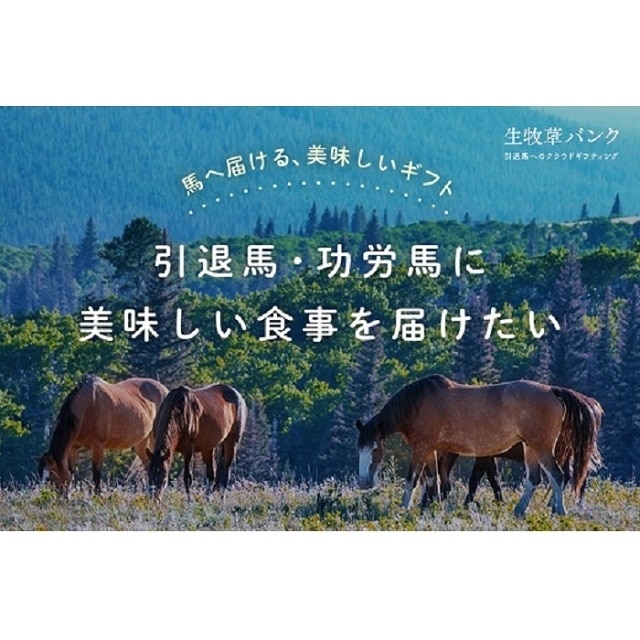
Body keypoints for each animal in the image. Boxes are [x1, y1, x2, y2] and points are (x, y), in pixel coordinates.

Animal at [38, 375, 169, 495]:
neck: (86, 407)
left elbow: (96, 476)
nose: (45, 496)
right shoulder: (73, 448)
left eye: (48, 478)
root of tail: (165, 389)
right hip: (141, 443)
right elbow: (72, 473)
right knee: (148, 465)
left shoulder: (98, 447)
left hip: (155, 438)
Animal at [356, 375, 602, 518]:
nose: (364, 482)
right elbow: (433, 480)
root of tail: (553, 391)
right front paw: (430, 507)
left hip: (541, 449)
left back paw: (559, 512)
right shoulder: (431, 450)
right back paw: (519, 511)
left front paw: (404, 508)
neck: (418, 404)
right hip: (530, 449)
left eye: (375, 449)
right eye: (360, 450)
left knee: (558, 476)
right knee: (534, 480)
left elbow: (413, 480)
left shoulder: (422, 448)